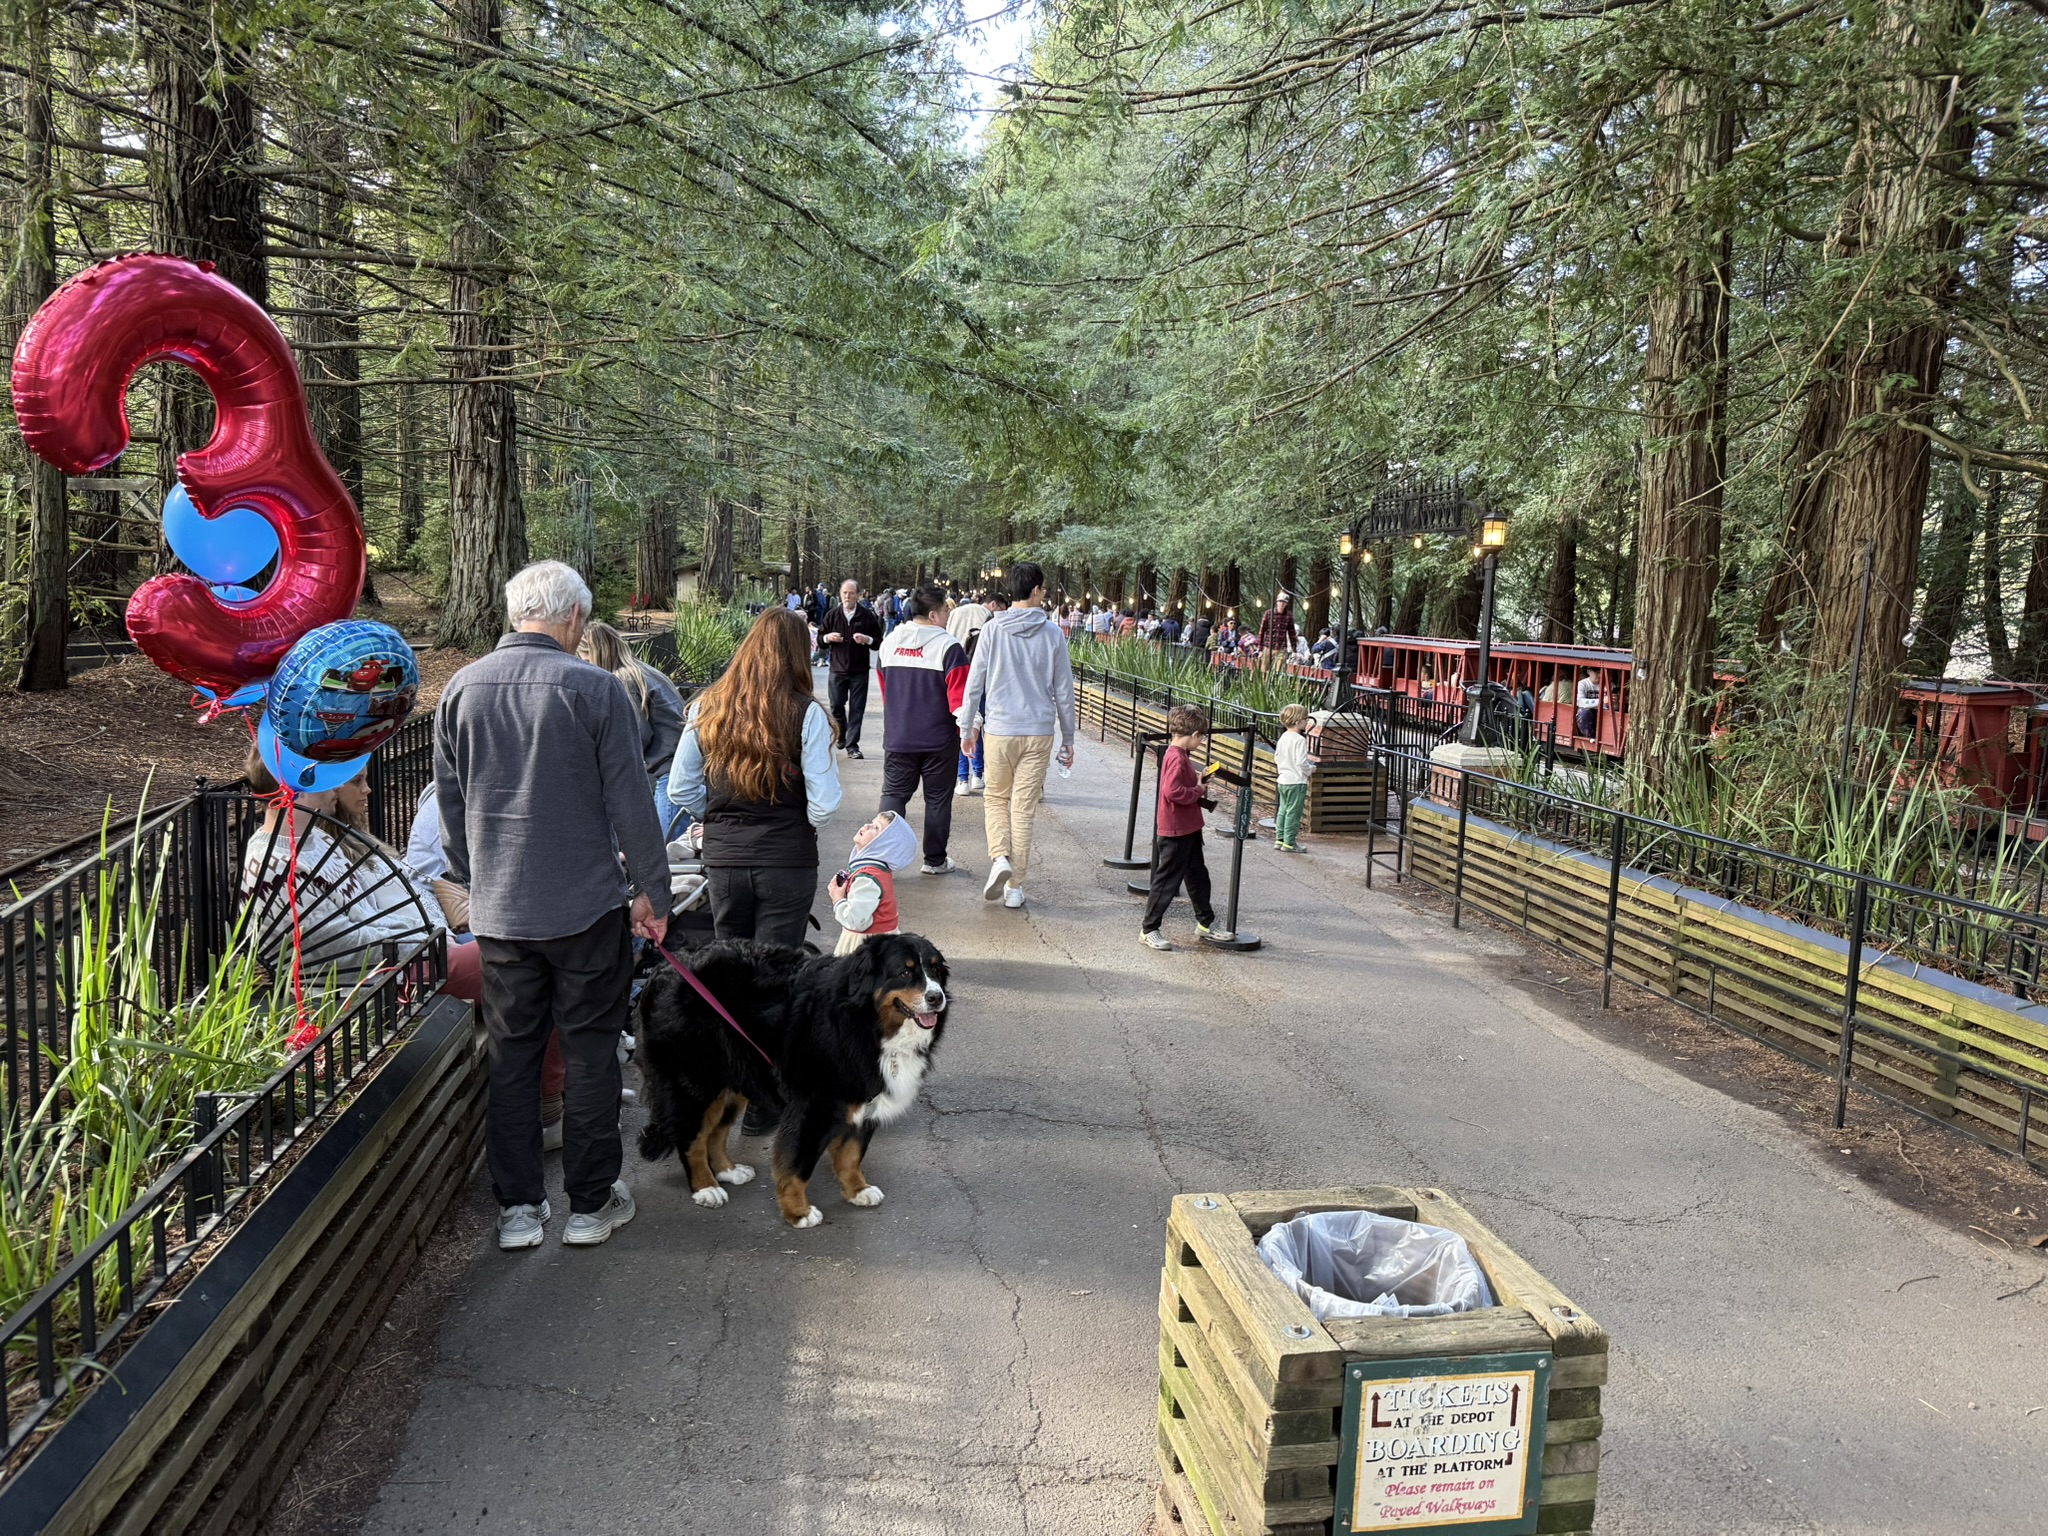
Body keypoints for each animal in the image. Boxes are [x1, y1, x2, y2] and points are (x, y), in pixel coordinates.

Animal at [634, 933, 946, 1236]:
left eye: (935, 970)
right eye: (905, 972)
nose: (936, 997)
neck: (864, 1022)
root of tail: (662, 969)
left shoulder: (864, 1099)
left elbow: (851, 1155)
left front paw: (857, 1190)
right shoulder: (811, 1110)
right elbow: (797, 1166)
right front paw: (798, 1212)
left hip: (732, 1081)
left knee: (716, 1132)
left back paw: (728, 1171)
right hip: (695, 1083)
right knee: (692, 1139)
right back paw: (706, 1187)